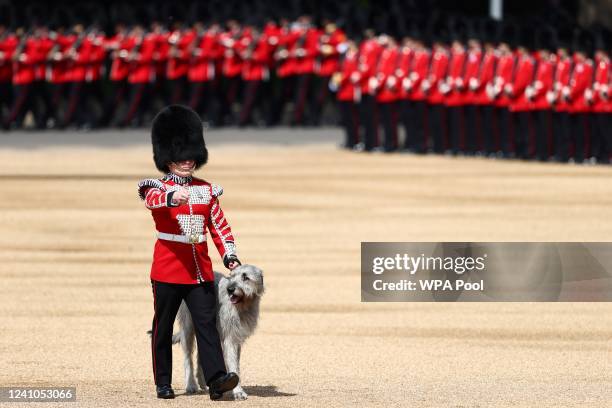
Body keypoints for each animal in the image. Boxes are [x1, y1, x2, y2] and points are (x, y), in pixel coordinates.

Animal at [175, 264, 266, 402]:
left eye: (245, 277)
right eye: (232, 276)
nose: (230, 289)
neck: (242, 306)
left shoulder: (236, 338)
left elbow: (235, 362)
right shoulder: (230, 338)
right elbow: (233, 364)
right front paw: (238, 391)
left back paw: (204, 383)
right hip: (188, 325)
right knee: (187, 356)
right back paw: (191, 384)